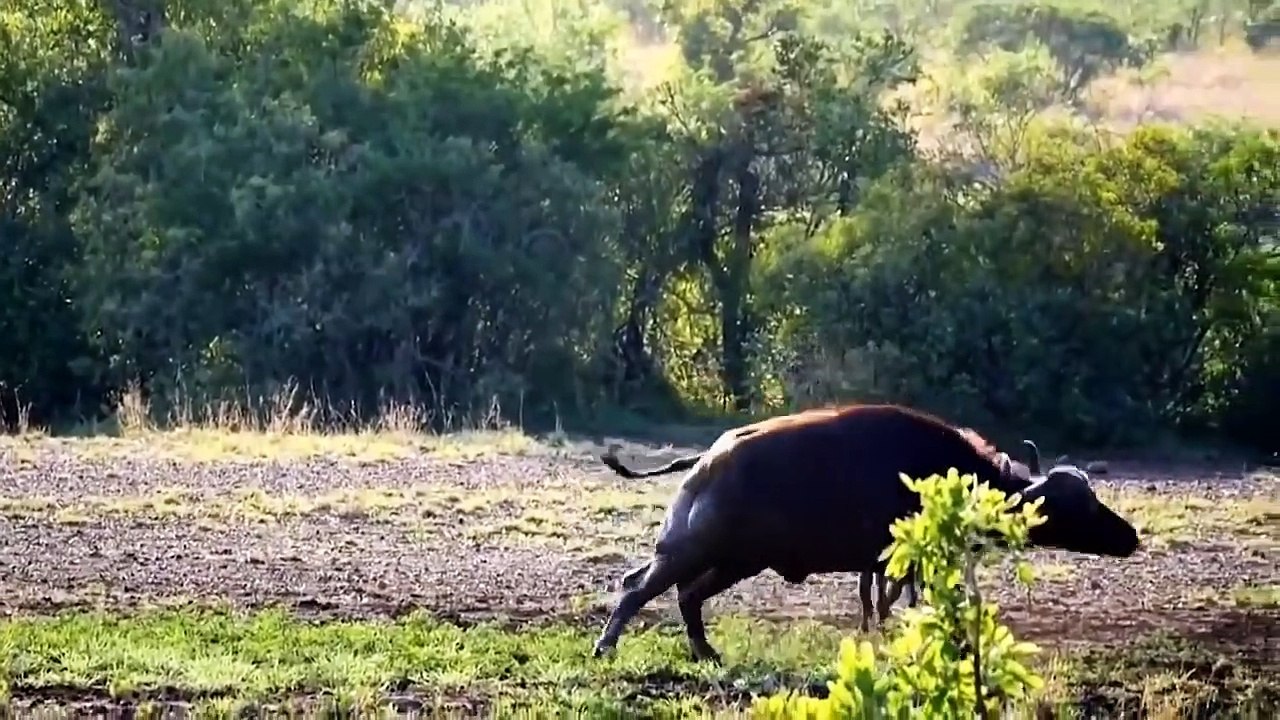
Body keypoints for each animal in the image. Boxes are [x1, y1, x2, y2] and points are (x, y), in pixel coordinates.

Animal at [592, 404, 1139, 663]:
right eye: (1080, 504)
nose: (1130, 536)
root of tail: (707, 460)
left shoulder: (881, 563)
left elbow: (879, 602)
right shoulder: (901, 559)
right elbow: (899, 601)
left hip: (732, 560)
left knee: (681, 594)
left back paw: (705, 652)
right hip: (697, 551)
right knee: (639, 589)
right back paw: (607, 646)